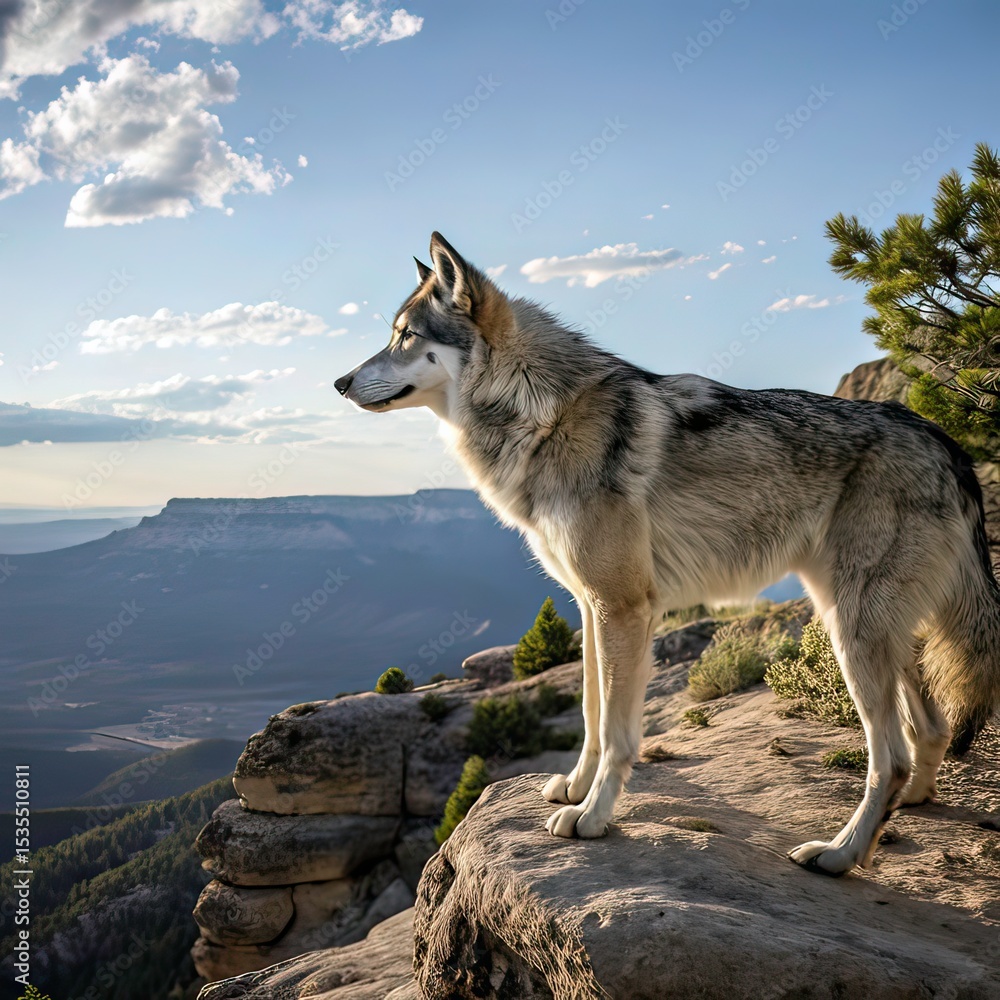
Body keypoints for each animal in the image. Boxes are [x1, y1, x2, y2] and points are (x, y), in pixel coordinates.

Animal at [335, 232, 1000, 875]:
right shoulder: (591, 606)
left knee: (890, 756)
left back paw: (840, 854)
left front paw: (594, 817)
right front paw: (574, 788)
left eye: (405, 336)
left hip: (849, 630)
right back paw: (911, 806)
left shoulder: (624, 605)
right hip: (874, 627)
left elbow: (619, 732)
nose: (339, 383)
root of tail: (945, 441)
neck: (541, 413)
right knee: (933, 729)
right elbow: (591, 713)